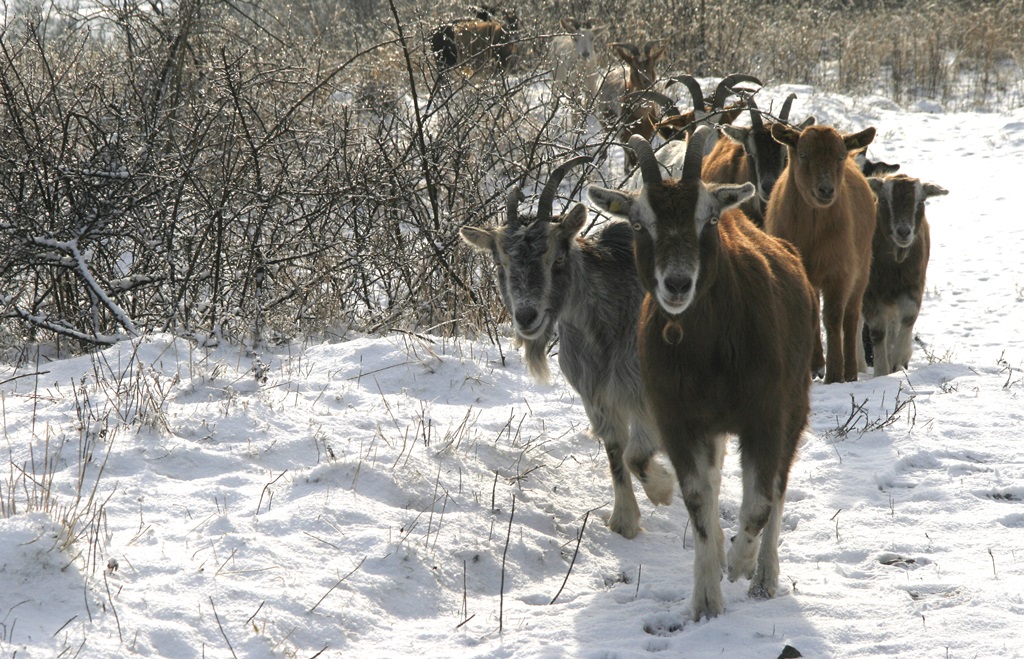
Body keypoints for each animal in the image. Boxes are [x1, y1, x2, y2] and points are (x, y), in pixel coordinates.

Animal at [460, 156, 675, 536]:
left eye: (556, 257)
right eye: (500, 262)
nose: (526, 317)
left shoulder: (644, 394)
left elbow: (636, 456)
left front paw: (662, 490)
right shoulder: (597, 398)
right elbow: (617, 454)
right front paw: (624, 521)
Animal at [585, 129, 815, 622]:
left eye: (707, 219)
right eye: (639, 223)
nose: (676, 284)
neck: (708, 349)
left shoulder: (766, 416)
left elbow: (760, 504)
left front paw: (741, 563)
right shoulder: (679, 420)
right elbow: (696, 499)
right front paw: (707, 599)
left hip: (795, 405)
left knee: (778, 488)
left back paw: (763, 576)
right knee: (713, 486)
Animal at [765, 122, 876, 386]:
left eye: (840, 156)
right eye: (804, 154)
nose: (826, 190)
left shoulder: (840, 271)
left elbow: (834, 317)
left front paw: (835, 375)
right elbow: (811, 313)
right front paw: (816, 367)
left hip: (862, 266)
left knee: (851, 315)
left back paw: (850, 371)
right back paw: (816, 364)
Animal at [860, 172, 946, 376]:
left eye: (921, 201)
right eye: (884, 199)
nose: (904, 232)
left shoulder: (914, 283)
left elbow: (908, 316)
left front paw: (899, 358)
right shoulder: (870, 291)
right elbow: (877, 331)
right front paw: (881, 371)